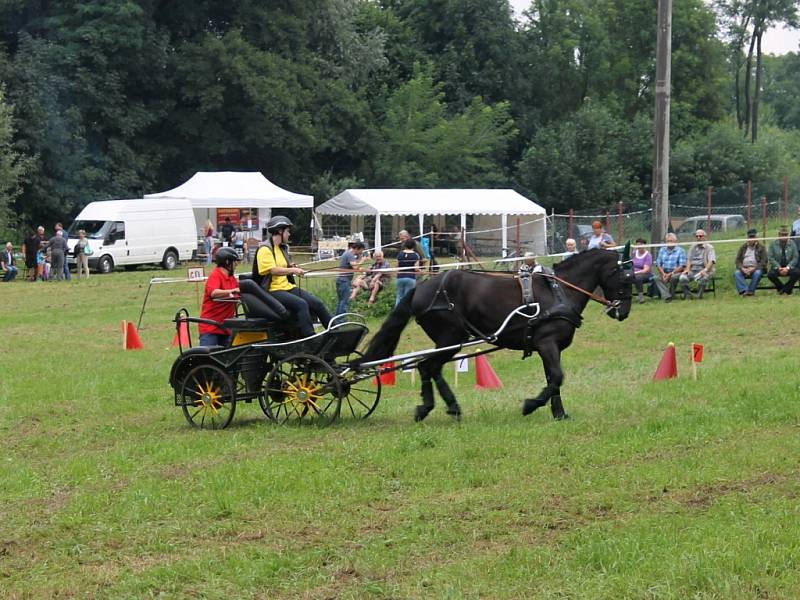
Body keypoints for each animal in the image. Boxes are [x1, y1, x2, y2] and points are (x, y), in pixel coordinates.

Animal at [360, 248, 636, 422]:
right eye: (626, 279)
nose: (623, 312)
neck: (559, 291)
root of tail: (421, 288)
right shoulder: (547, 343)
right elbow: (557, 377)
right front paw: (530, 405)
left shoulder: (549, 347)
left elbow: (553, 379)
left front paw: (559, 414)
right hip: (450, 338)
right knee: (429, 366)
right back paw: (439, 407)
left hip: (449, 340)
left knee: (429, 367)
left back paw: (440, 407)